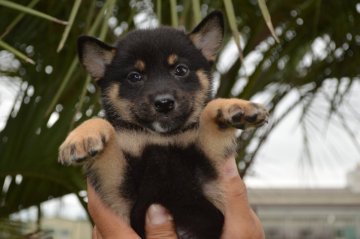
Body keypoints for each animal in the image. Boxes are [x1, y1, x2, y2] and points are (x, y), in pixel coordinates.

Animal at [58, 10, 268, 238]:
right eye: (134, 76)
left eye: (181, 70)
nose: (164, 103)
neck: (160, 137)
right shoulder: (116, 191)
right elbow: (106, 128)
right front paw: (81, 138)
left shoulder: (213, 173)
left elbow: (208, 113)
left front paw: (235, 107)